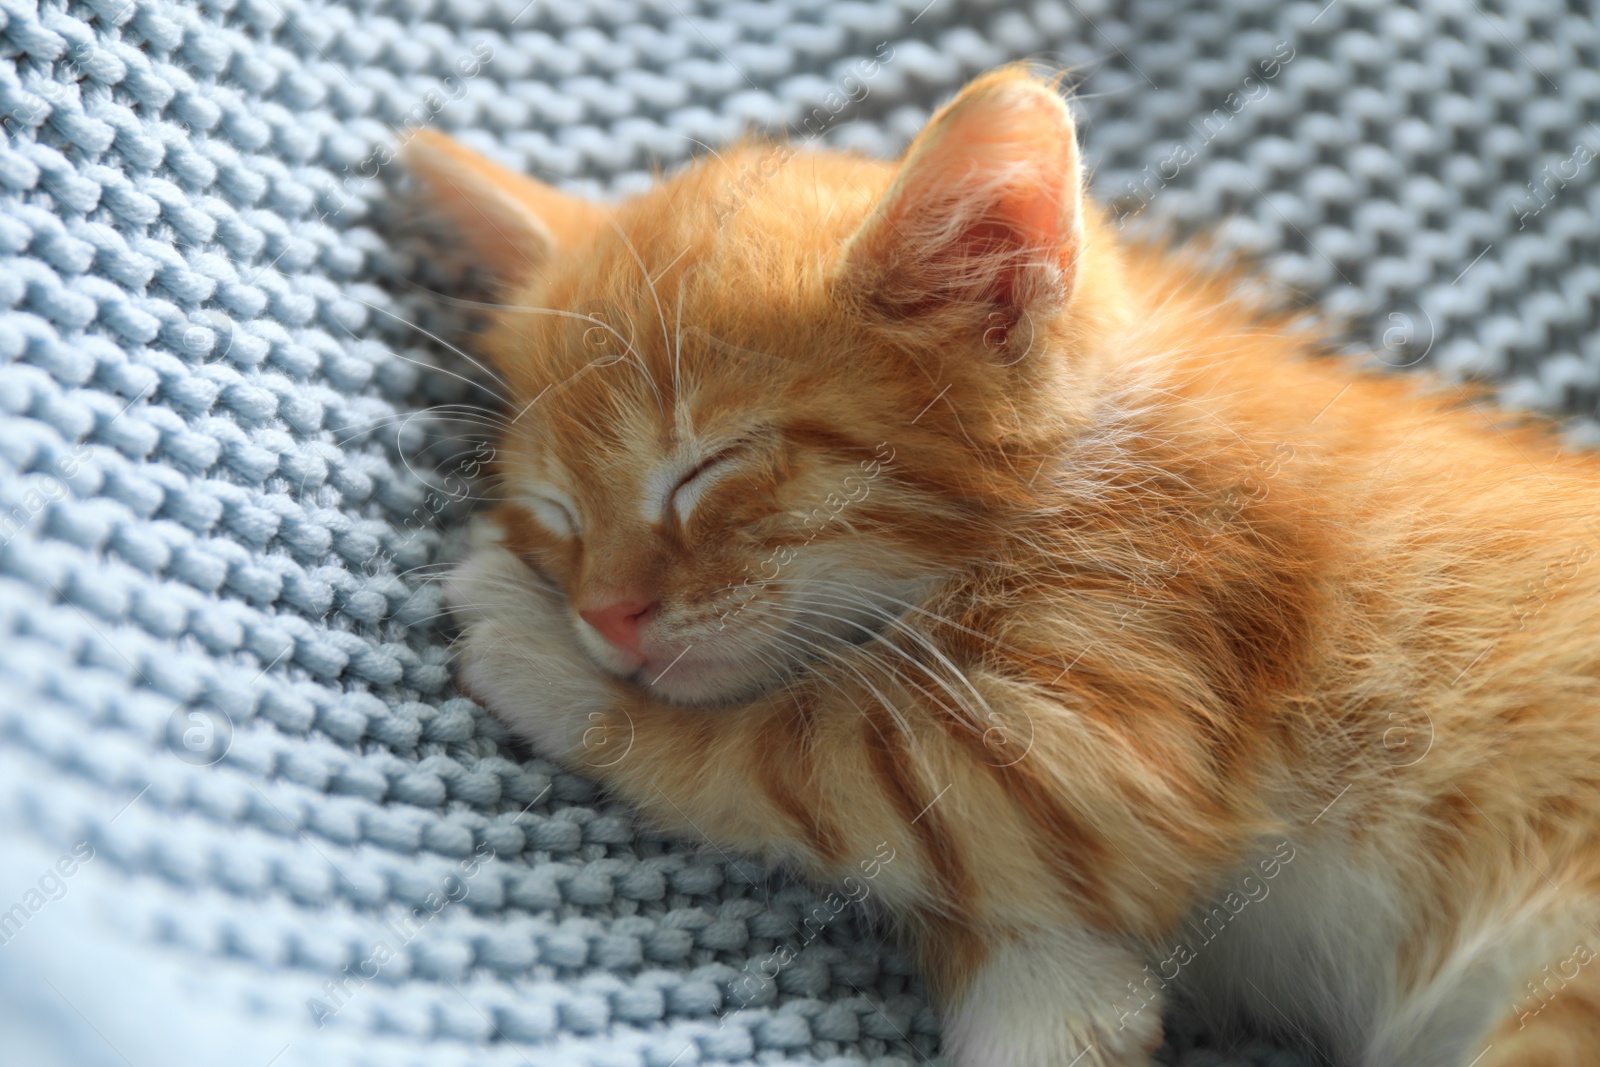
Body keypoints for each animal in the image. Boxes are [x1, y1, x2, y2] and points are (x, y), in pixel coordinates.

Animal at [403, 68, 1600, 1067]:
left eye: (711, 468)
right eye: (553, 508)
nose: (606, 615)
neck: (1085, 457)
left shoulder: (1121, 692)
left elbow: (791, 751)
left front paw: (537, 648)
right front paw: (1053, 996)